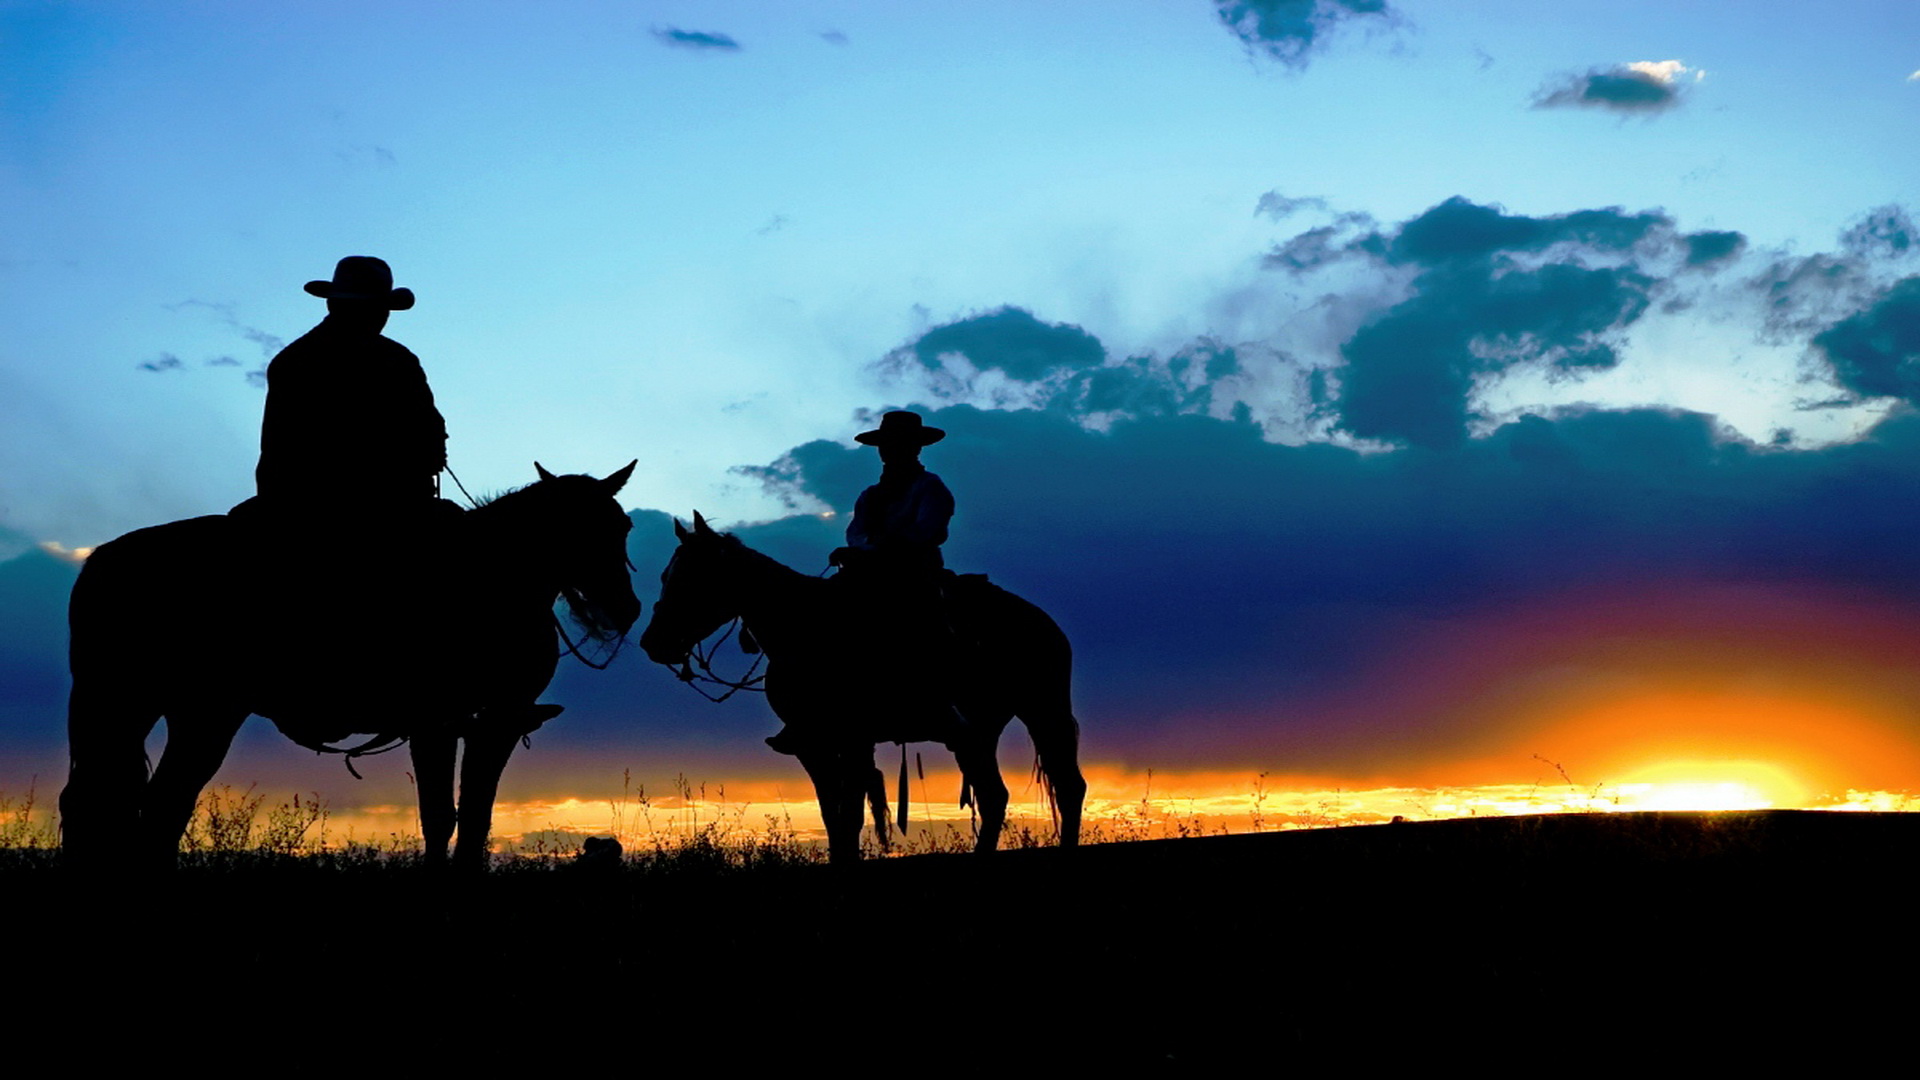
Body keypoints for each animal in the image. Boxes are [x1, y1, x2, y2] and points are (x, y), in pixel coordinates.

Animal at [58, 461, 645, 864]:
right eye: (574, 529)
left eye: (623, 528)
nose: (626, 608)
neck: (495, 578)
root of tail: (102, 561)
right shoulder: (445, 721)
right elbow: (444, 814)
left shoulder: (490, 721)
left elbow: (474, 814)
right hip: (192, 712)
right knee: (144, 804)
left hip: (155, 710)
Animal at [633, 511, 1075, 857]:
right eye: (665, 575)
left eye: (692, 578)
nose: (653, 643)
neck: (810, 633)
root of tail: (1041, 620)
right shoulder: (813, 745)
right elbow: (834, 817)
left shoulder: (856, 739)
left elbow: (850, 815)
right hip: (978, 732)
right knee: (995, 795)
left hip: (1043, 711)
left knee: (1067, 784)